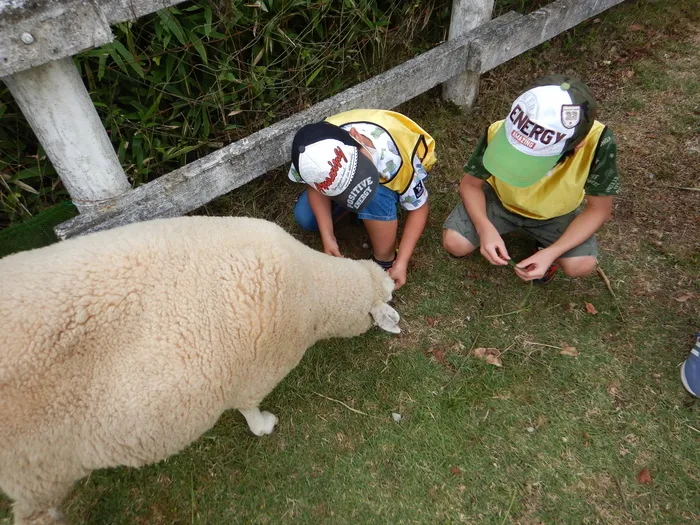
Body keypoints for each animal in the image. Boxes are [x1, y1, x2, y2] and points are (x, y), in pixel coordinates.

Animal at [0, 215, 400, 520]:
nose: (394, 278)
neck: (313, 291)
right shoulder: (254, 376)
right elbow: (249, 411)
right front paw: (265, 425)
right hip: (37, 471)